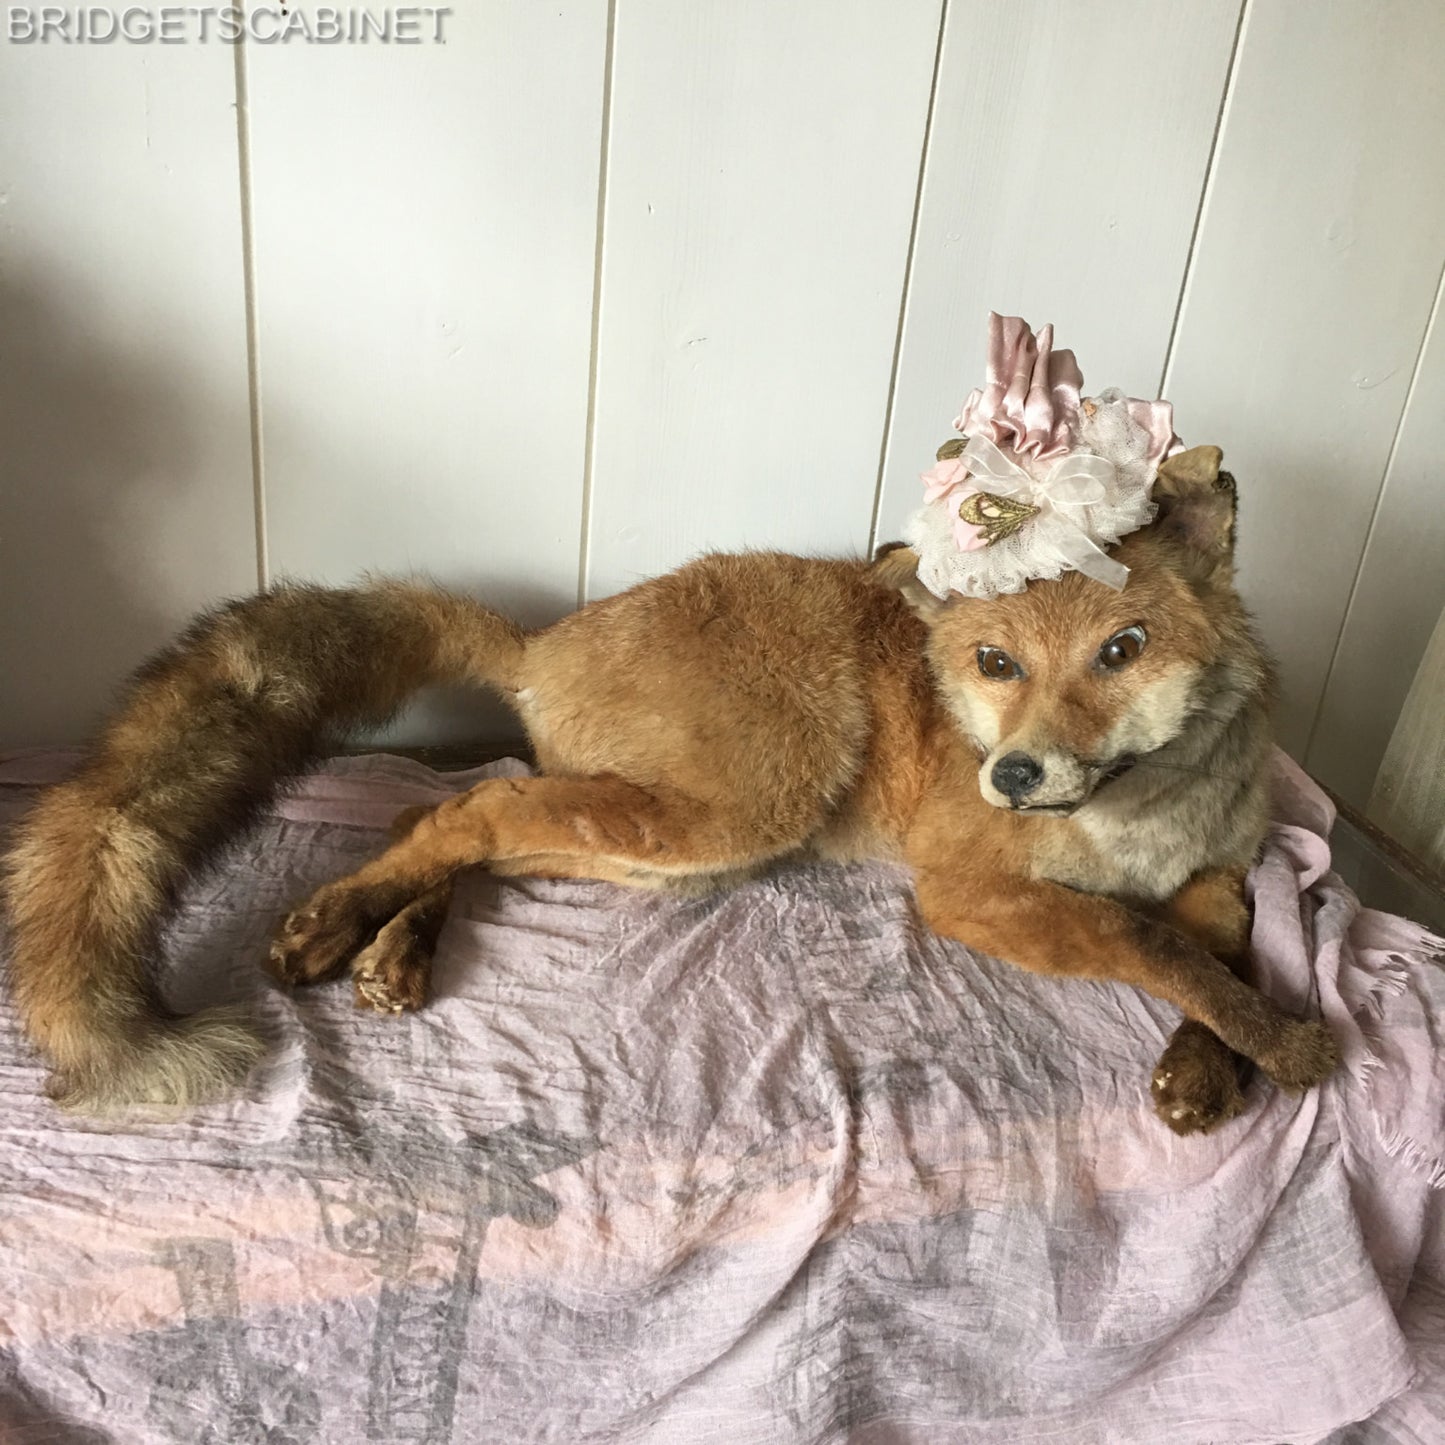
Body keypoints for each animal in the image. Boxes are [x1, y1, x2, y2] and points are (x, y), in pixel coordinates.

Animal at [1, 443, 1337, 1130]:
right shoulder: (965, 888)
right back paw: (342, 920)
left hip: (653, 841)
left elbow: (1221, 944)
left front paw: (1212, 1058)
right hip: (736, 815)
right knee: (469, 805)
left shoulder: (1220, 869)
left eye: (1122, 648)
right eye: (992, 663)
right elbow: (1146, 944)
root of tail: (544, 640)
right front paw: (1280, 1039)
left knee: (446, 813)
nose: (1011, 773)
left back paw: (390, 943)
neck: (1132, 827)